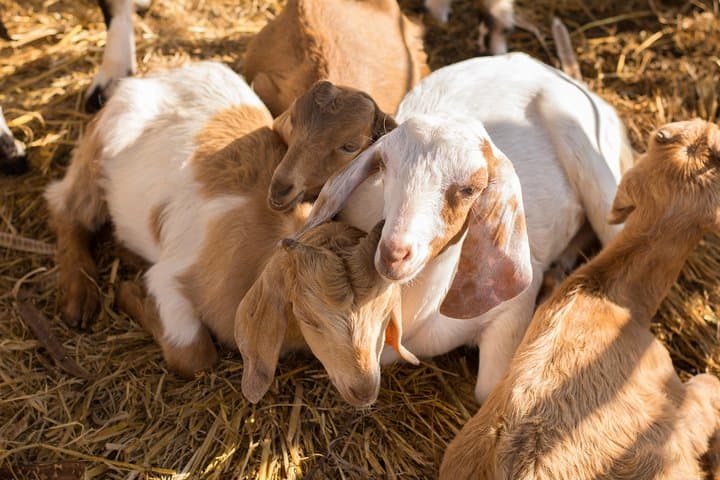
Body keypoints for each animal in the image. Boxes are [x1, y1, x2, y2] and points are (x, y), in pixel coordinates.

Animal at [45, 61, 416, 406]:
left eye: (384, 312)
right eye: (309, 317)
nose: (364, 390)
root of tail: (158, 74)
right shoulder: (169, 279)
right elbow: (194, 355)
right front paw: (129, 293)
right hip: (93, 157)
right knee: (65, 208)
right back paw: (79, 297)